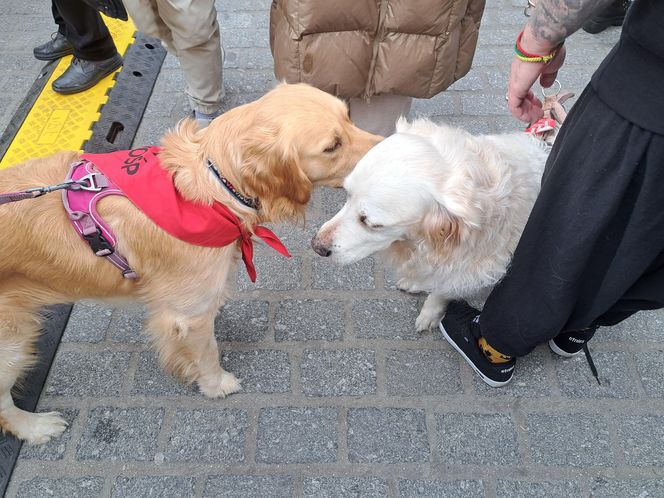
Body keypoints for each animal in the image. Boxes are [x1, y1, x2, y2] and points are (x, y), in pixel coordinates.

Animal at [314, 117, 548, 330]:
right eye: (347, 195)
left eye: (371, 223)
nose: (316, 246)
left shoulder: (470, 268)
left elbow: (443, 289)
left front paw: (431, 312)